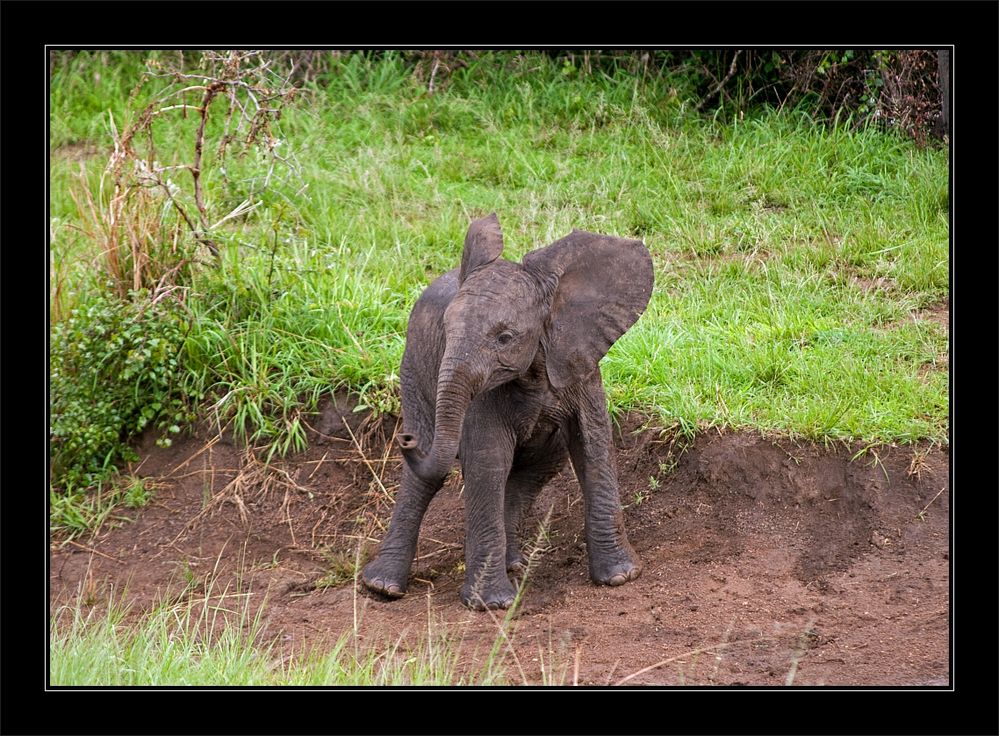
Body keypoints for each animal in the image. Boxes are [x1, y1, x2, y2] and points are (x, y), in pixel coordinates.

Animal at [360, 213, 656, 608]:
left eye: (505, 338)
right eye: (446, 331)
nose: (405, 438)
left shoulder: (579, 362)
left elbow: (593, 446)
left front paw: (621, 578)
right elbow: (488, 460)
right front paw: (492, 604)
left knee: (535, 470)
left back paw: (514, 565)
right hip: (413, 364)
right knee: (428, 477)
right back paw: (383, 587)